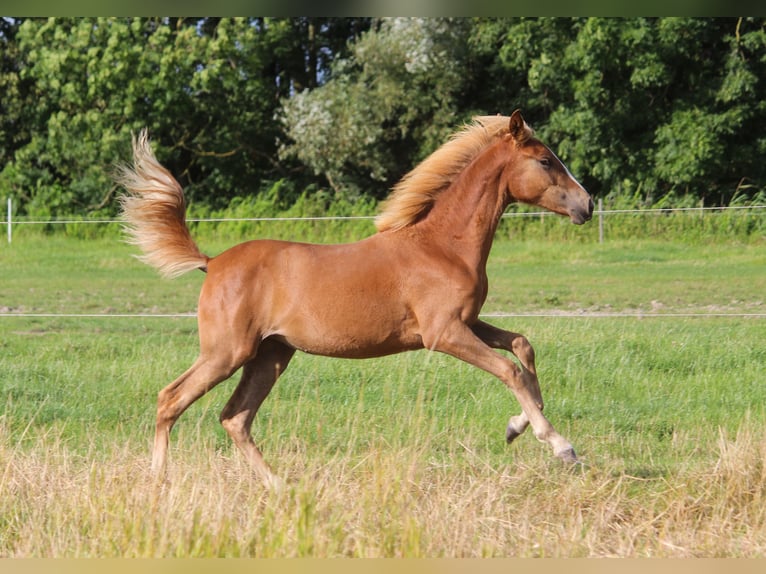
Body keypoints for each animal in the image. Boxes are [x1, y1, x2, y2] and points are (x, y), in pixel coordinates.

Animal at [118, 109, 592, 486]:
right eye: (546, 160)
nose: (587, 205)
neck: (442, 245)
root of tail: (212, 262)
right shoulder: (443, 333)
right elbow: (510, 371)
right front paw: (560, 446)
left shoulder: (469, 322)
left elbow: (522, 347)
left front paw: (517, 426)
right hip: (226, 352)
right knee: (171, 400)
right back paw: (159, 481)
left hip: (270, 355)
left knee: (235, 417)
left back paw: (278, 486)